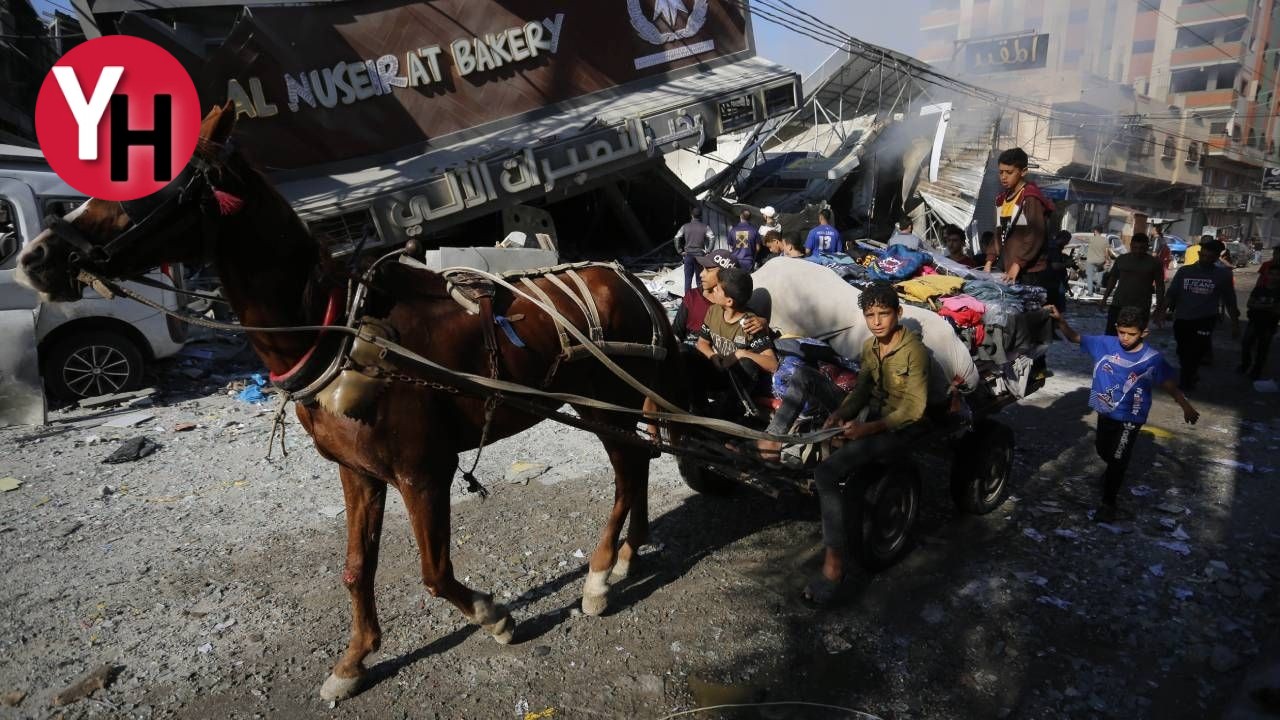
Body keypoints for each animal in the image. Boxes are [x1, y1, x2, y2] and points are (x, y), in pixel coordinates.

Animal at [15, 103, 686, 696]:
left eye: (144, 175)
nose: (36, 257)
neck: (334, 329)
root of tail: (628, 278)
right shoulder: (357, 472)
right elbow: (357, 568)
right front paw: (355, 660)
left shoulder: (423, 472)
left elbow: (434, 572)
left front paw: (494, 616)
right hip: (613, 406)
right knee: (640, 464)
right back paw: (627, 556)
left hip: (601, 405)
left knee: (628, 470)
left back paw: (600, 574)